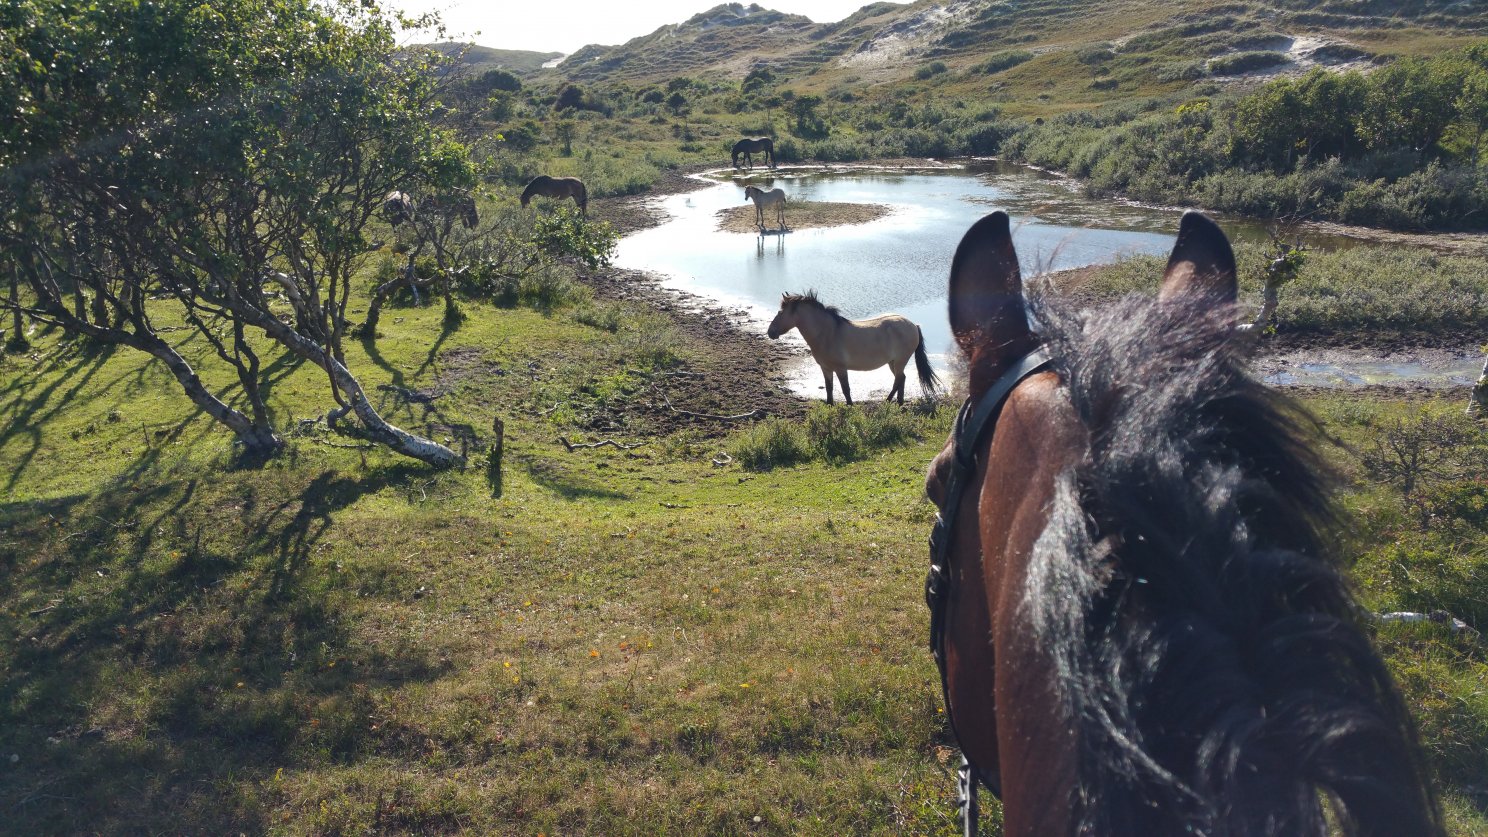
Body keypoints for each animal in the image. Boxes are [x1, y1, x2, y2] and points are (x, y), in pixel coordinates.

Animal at [773, 288, 934, 402]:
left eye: (780, 312)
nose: (770, 332)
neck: (828, 333)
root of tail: (913, 325)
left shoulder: (841, 369)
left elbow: (846, 390)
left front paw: (850, 407)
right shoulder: (826, 368)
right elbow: (829, 389)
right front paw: (830, 406)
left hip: (900, 361)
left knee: (898, 380)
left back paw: (887, 401)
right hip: (893, 362)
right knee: (902, 379)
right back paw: (899, 403)